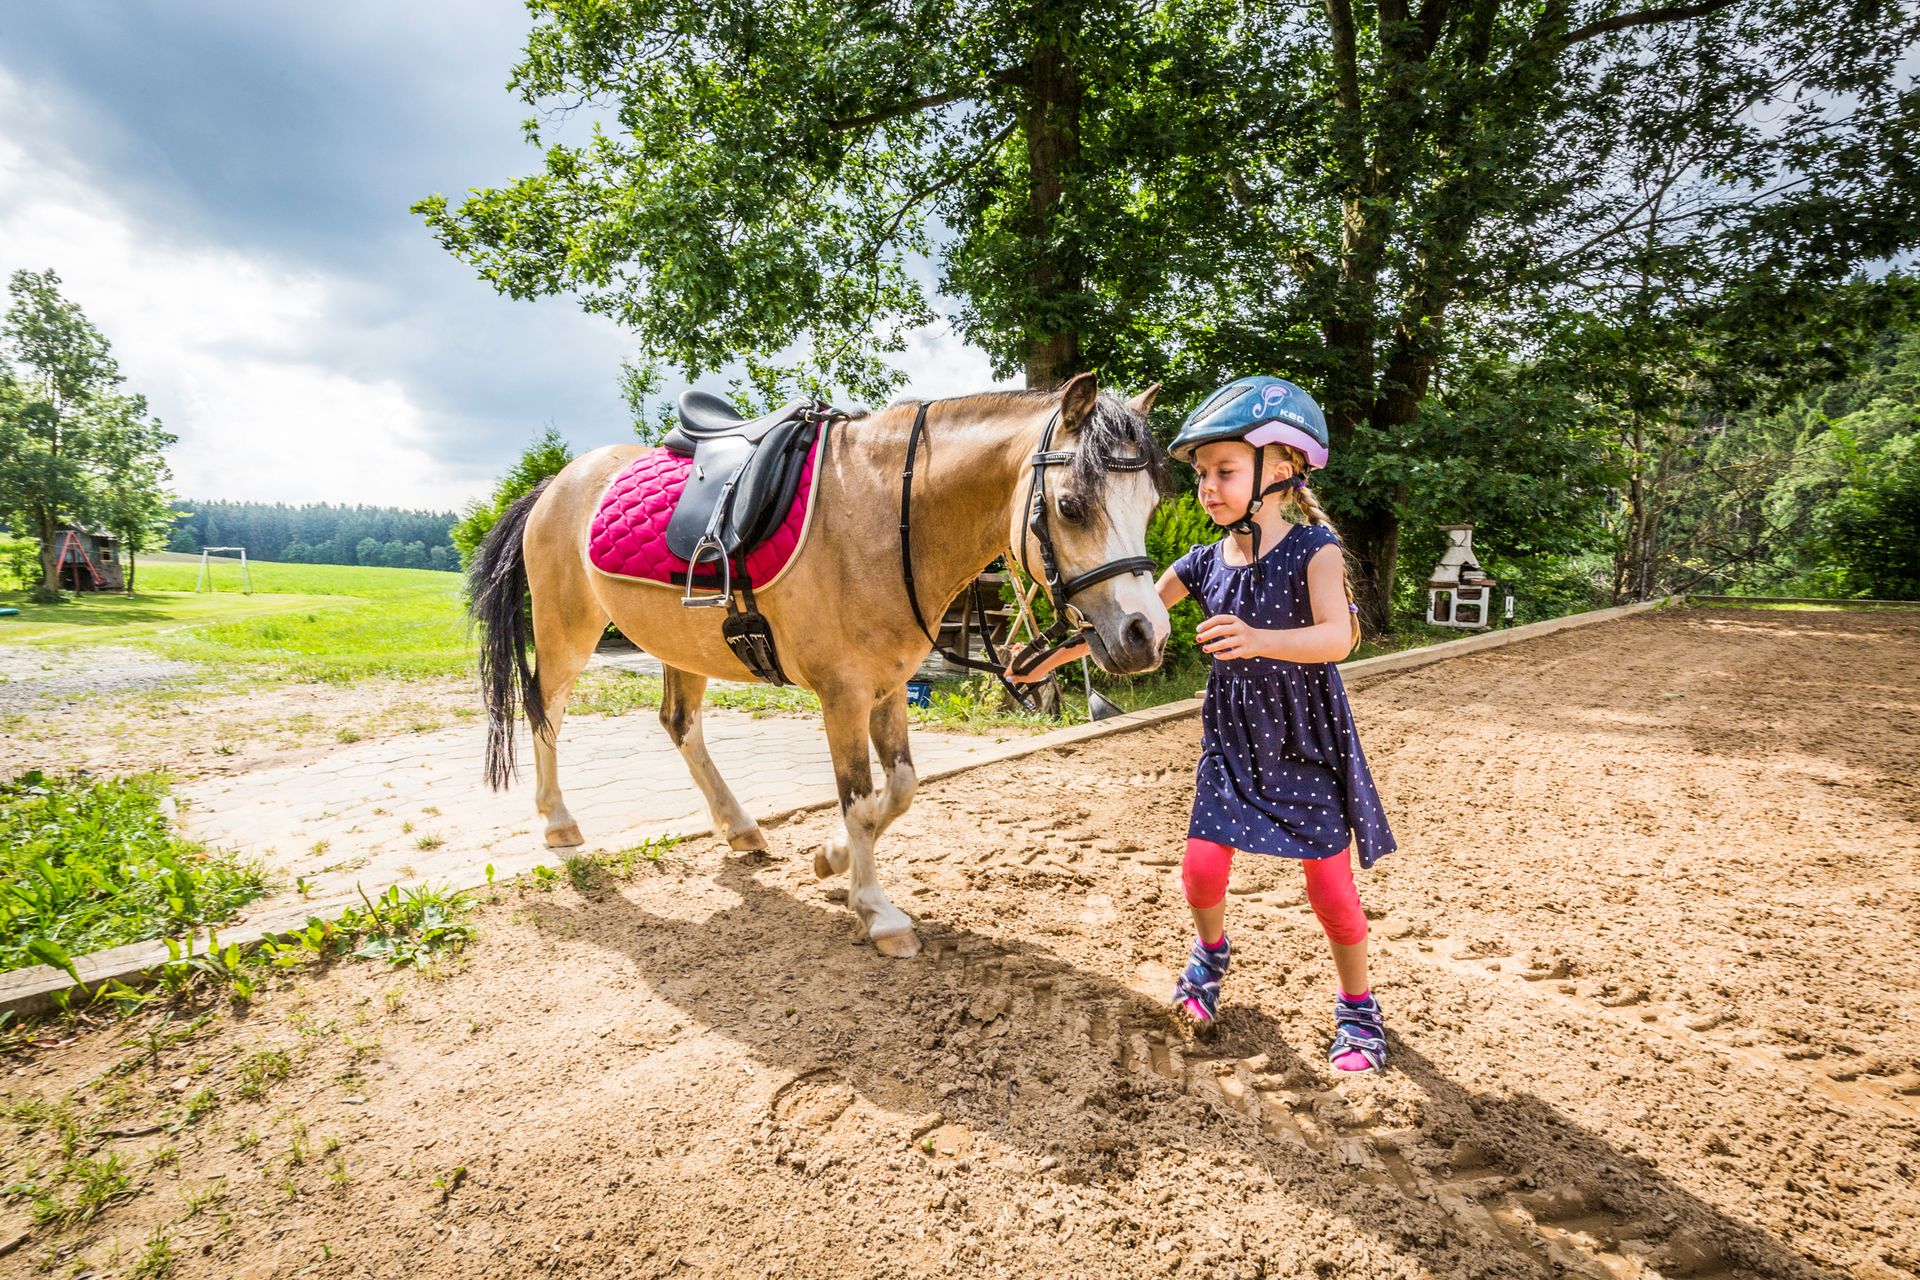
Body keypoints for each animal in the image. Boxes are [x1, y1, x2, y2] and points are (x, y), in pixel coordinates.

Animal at [472, 376, 1175, 955]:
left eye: (1148, 507)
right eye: (1071, 505)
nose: (1146, 634)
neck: (888, 517)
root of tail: (557, 482)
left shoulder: (888, 688)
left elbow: (901, 789)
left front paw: (830, 859)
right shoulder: (843, 694)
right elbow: (860, 802)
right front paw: (878, 913)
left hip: (679, 644)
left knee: (679, 724)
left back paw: (740, 828)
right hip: (567, 630)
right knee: (545, 708)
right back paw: (559, 823)